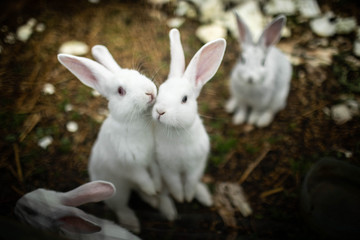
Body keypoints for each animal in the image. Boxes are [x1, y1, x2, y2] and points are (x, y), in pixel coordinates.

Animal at [58, 45, 161, 232]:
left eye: (138, 73)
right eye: (121, 91)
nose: (150, 92)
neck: (135, 122)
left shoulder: (152, 158)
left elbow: (154, 172)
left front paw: (156, 188)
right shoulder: (129, 164)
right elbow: (142, 177)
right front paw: (152, 189)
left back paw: (154, 201)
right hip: (116, 191)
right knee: (121, 206)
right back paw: (133, 223)